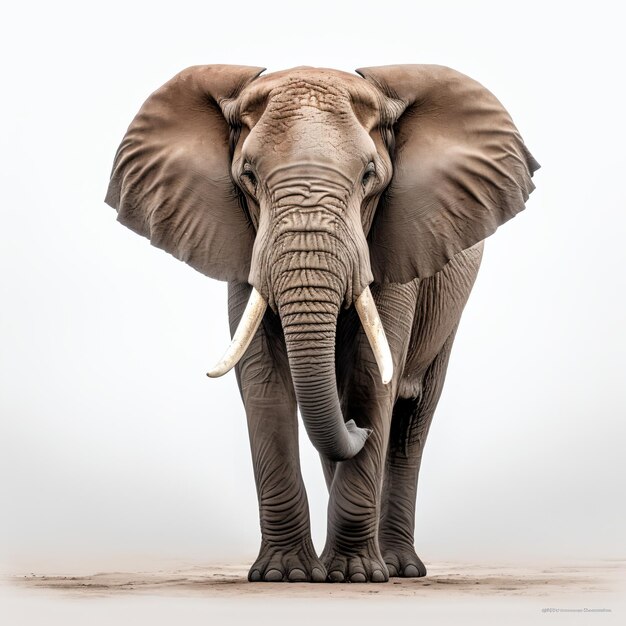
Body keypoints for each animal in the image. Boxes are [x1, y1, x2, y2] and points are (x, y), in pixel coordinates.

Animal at [103, 63, 536, 580]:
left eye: (370, 176)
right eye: (248, 176)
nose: (358, 429)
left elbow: (371, 376)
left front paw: (355, 576)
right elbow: (263, 382)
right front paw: (284, 575)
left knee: (411, 424)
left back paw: (398, 567)